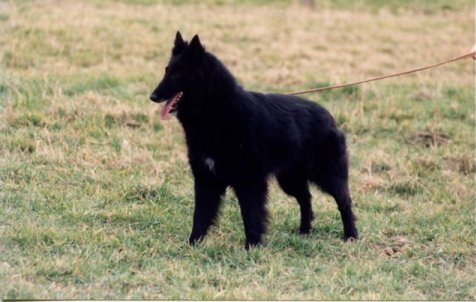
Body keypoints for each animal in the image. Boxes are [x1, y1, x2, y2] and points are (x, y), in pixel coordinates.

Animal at [150, 31, 356, 249]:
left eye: (178, 74)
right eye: (166, 71)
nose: (152, 96)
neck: (217, 111)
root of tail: (329, 116)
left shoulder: (248, 181)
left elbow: (250, 214)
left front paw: (252, 246)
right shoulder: (206, 178)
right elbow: (200, 215)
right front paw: (193, 244)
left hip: (327, 175)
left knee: (344, 201)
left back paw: (351, 235)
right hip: (290, 179)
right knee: (305, 198)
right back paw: (304, 231)